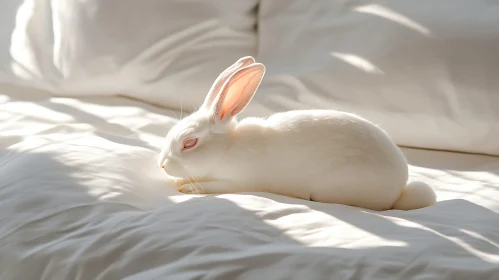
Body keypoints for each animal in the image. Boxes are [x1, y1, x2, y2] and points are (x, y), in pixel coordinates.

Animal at [158, 56, 436, 210]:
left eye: (190, 143)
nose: (161, 165)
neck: (227, 147)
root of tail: (400, 189)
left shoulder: (237, 182)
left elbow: (211, 187)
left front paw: (187, 189)